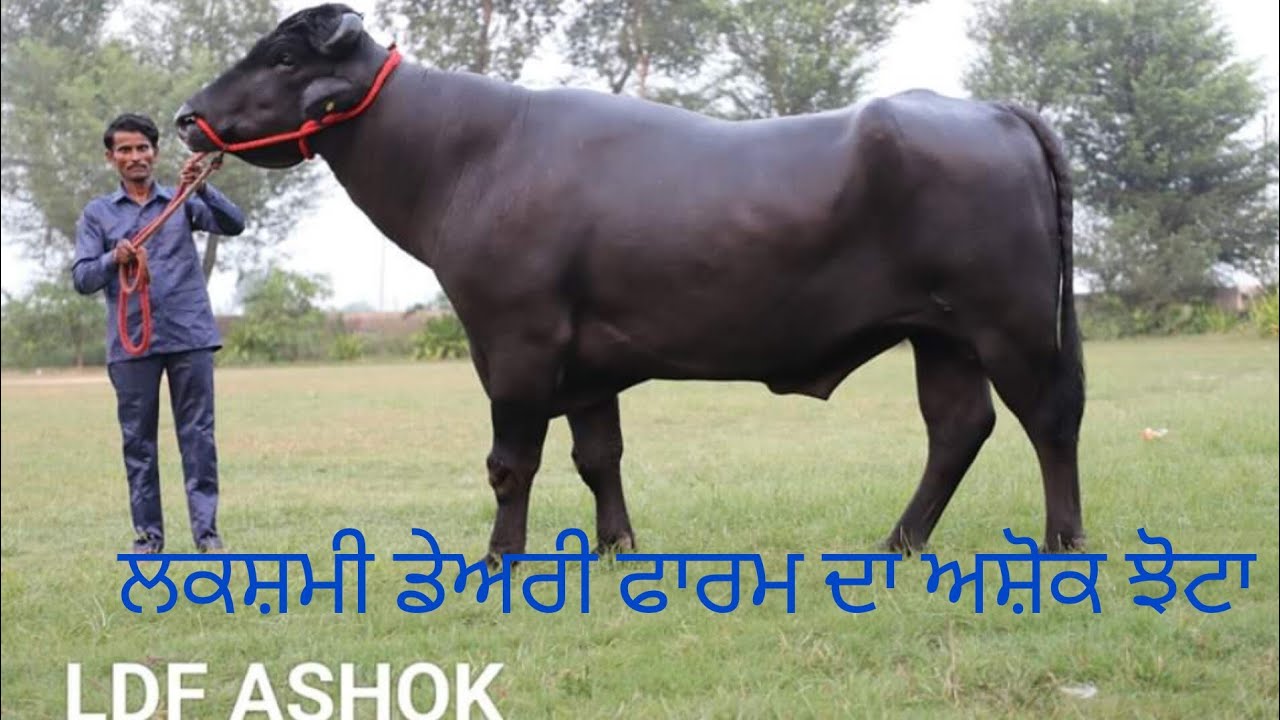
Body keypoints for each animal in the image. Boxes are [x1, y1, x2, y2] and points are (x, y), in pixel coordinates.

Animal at [176, 3, 1086, 562]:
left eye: (281, 55)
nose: (188, 115)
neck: (467, 155)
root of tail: (989, 110)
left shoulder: (515, 341)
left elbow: (511, 460)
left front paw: (500, 557)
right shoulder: (589, 360)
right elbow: (598, 455)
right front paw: (617, 547)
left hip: (1008, 325)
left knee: (1048, 419)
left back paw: (1061, 543)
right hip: (940, 336)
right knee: (959, 427)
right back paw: (897, 543)